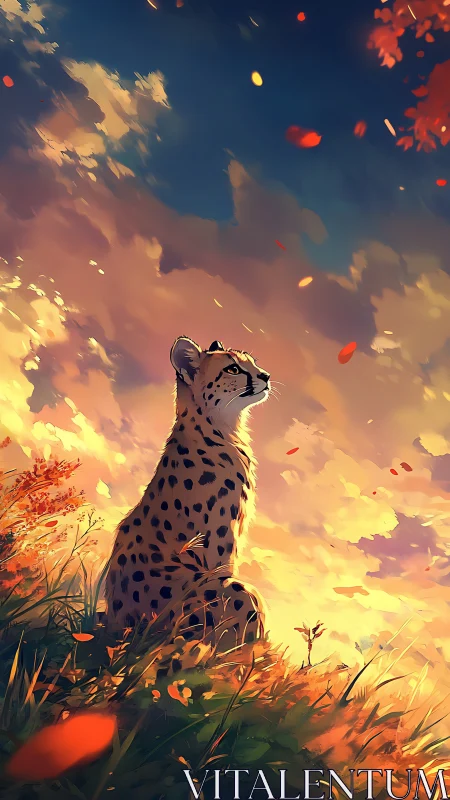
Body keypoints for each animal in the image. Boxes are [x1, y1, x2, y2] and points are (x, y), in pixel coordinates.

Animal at [105, 336, 271, 660]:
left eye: (252, 362)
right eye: (233, 368)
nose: (266, 376)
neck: (218, 425)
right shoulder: (219, 553)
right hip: (234, 595)